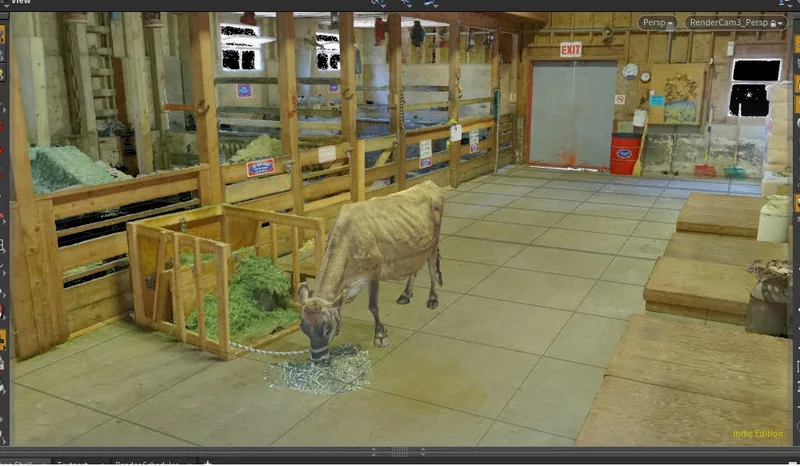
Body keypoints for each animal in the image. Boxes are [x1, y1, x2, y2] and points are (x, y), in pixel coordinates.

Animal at [297, 180, 445, 362]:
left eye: (327, 328)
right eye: (303, 328)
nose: (318, 359)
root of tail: (428, 183)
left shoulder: (373, 273)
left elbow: (373, 306)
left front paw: (380, 335)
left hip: (433, 244)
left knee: (432, 269)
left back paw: (432, 299)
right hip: (415, 247)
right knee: (414, 269)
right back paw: (406, 294)